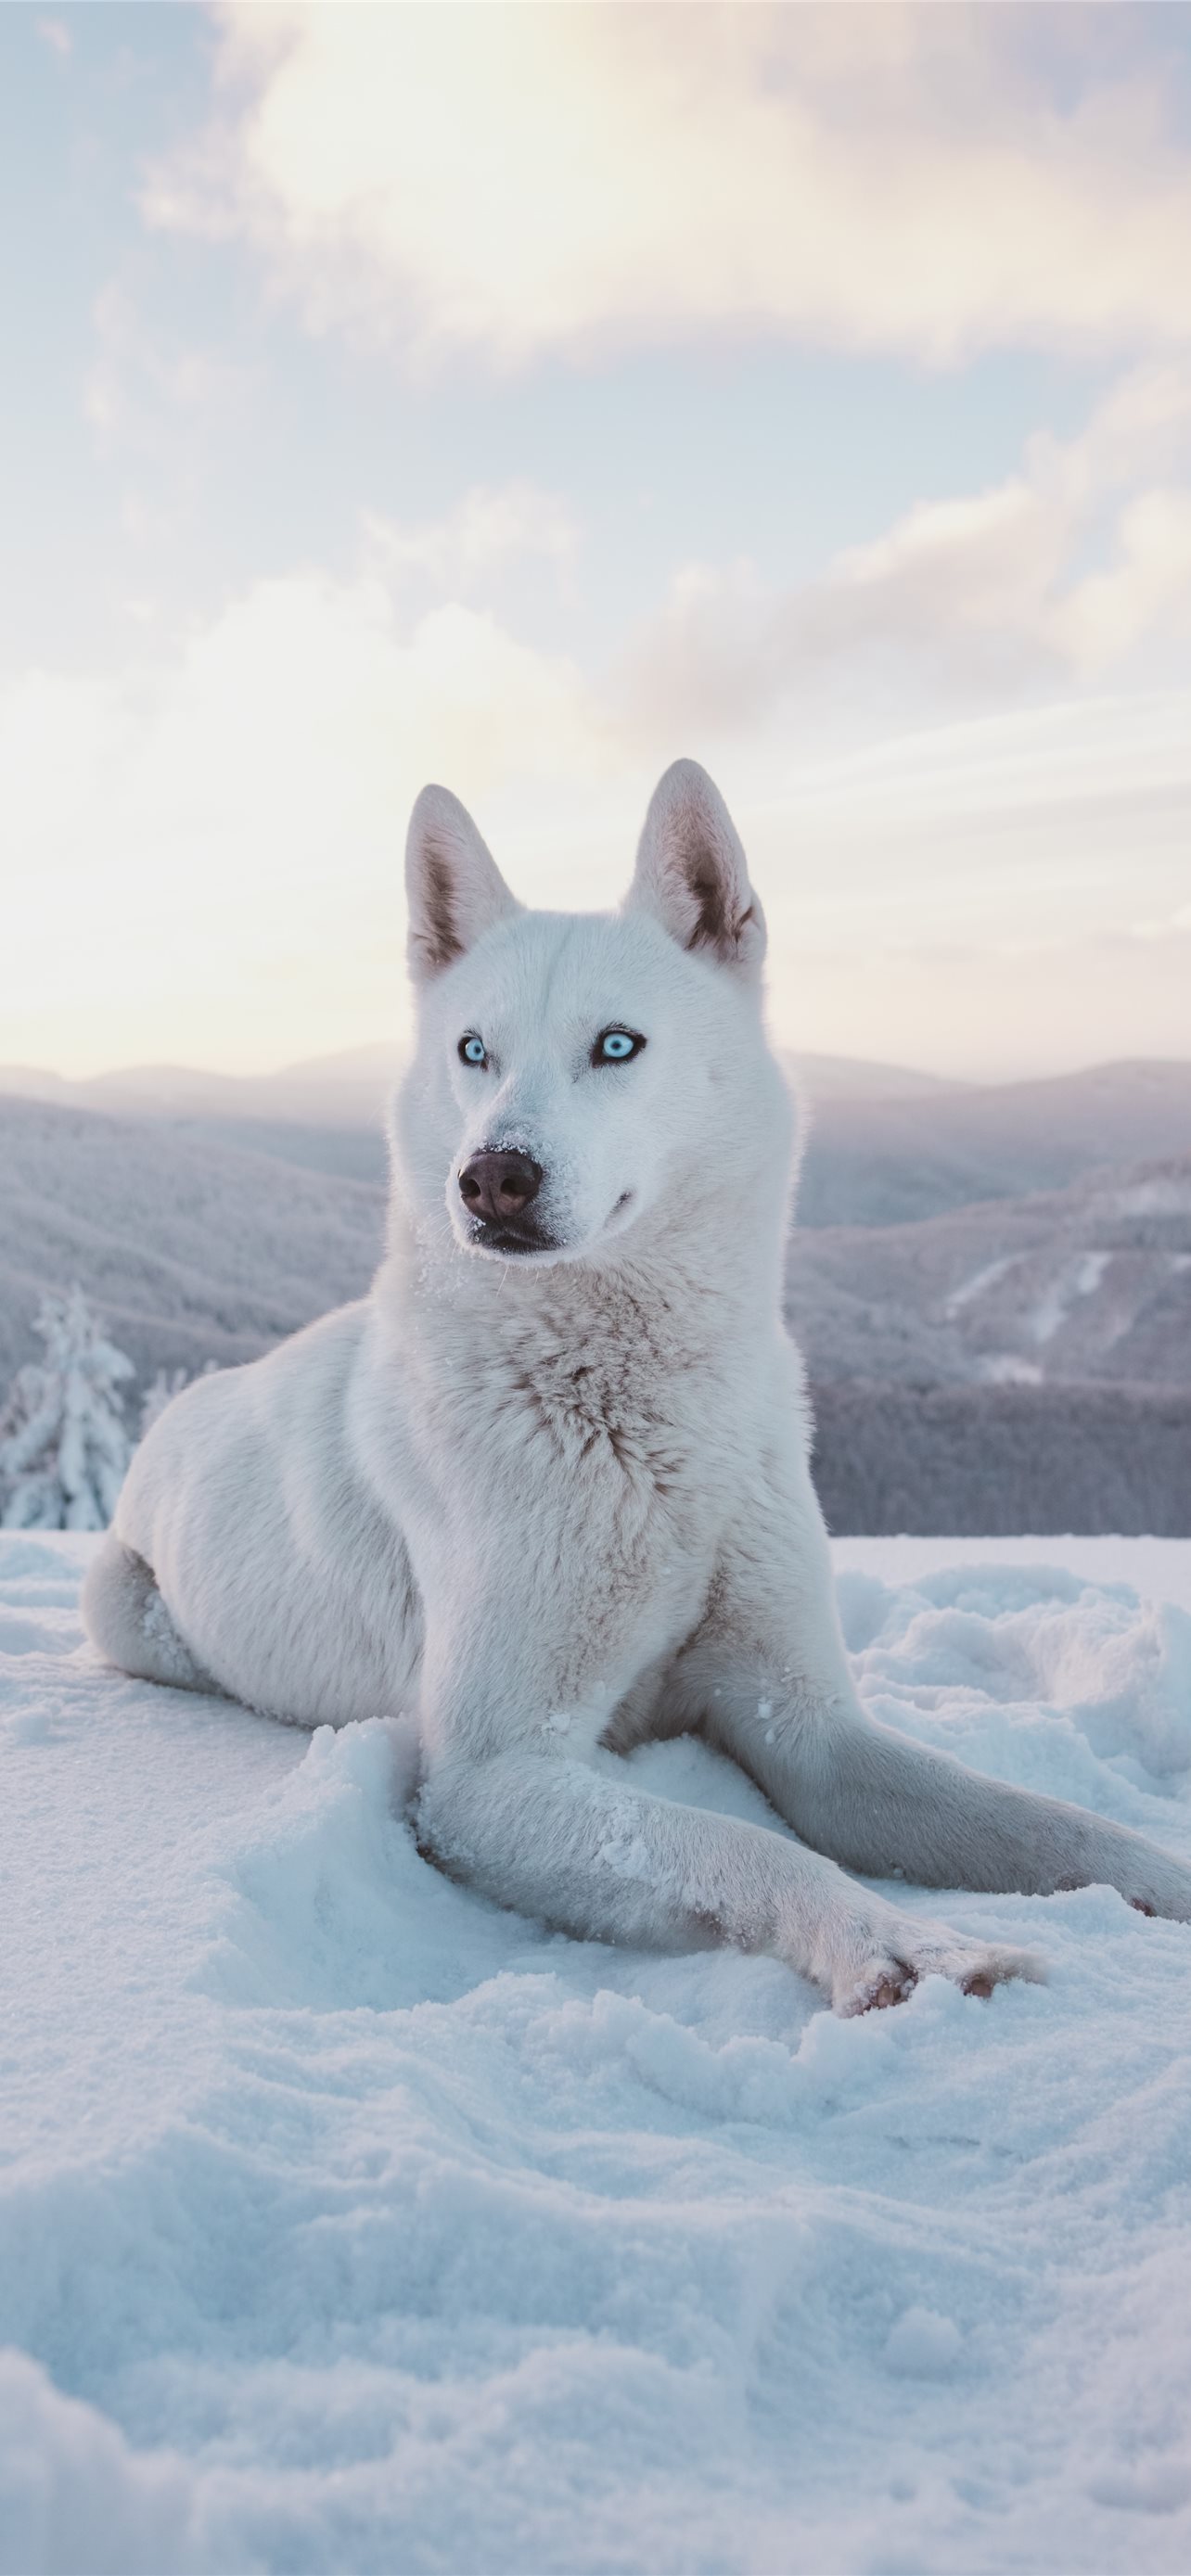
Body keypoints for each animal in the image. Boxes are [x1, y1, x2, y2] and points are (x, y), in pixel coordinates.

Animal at [84, 761, 1191, 2013]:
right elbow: (747, 1845)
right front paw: (904, 1946)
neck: (642, 1422)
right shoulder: (491, 1777)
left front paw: (1155, 1881)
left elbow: (1041, 1824)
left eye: (617, 1045)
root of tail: (189, 1403)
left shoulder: (809, 1727)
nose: (491, 1178)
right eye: (473, 1050)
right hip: (125, 1609)